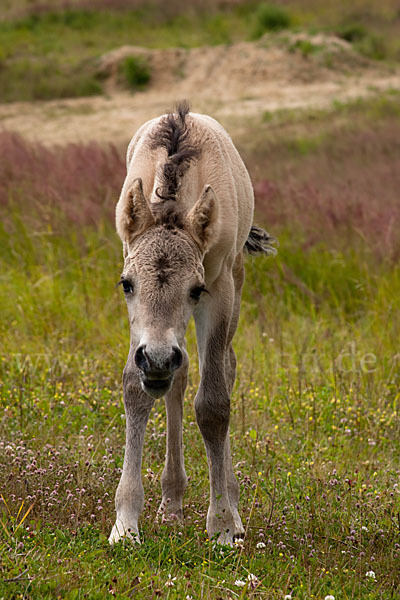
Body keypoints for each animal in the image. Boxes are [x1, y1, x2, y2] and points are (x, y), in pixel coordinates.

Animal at [108, 102, 274, 544]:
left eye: (195, 290)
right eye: (126, 284)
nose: (157, 358)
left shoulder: (220, 290)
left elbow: (214, 404)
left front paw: (223, 525)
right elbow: (136, 388)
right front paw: (126, 522)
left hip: (235, 281)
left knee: (225, 368)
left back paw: (230, 501)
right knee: (178, 381)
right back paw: (172, 501)